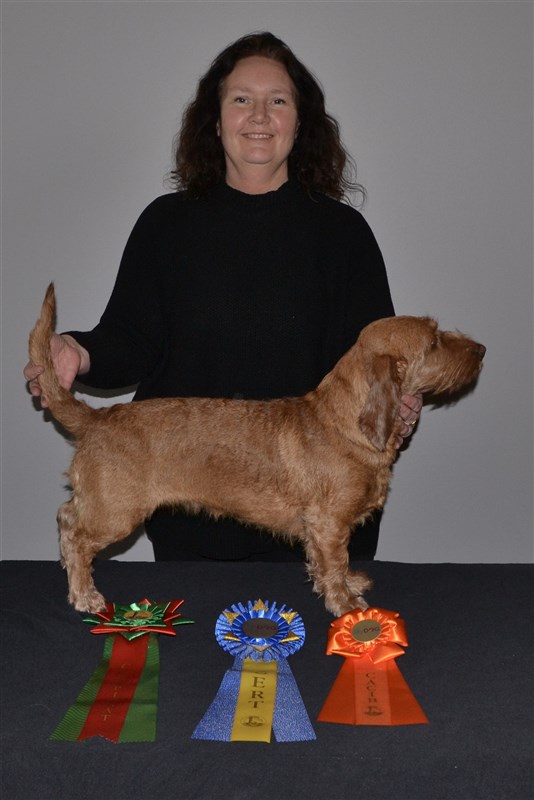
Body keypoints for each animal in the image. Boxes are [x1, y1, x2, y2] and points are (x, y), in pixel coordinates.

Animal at [29, 284, 485, 616]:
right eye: (433, 341)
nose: (481, 351)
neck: (342, 424)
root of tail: (98, 417)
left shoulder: (325, 529)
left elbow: (331, 564)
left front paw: (350, 584)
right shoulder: (328, 524)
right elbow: (334, 562)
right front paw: (347, 605)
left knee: (65, 517)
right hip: (116, 512)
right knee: (76, 535)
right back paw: (85, 595)